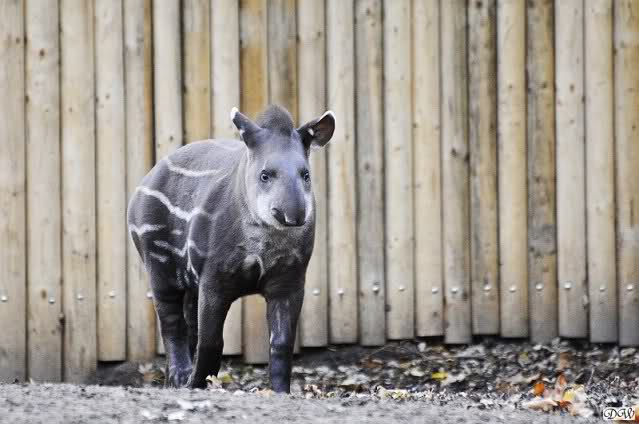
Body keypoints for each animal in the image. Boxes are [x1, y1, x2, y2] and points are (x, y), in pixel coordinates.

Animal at [127, 105, 335, 392]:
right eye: (264, 175)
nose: (292, 215)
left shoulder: (290, 280)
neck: (265, 242)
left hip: (190, 277)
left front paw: (280, 392)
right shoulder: (214, 276)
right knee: (170, 321)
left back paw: (174, 380)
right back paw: (181, 378)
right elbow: (212, 342)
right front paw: (196, 385)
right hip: (157, 259)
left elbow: (281, 345)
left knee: (189, 322)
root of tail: (148, 176)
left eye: (306, 175)